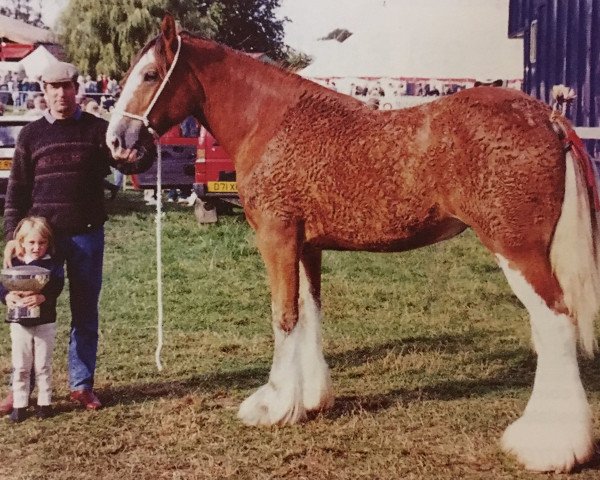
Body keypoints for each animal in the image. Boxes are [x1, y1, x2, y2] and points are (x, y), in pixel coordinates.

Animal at [108, 15, 600, 472]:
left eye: (149, 75)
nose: (117, 141)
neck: (271, 121)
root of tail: (548, 117)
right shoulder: (307, 246)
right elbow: (309, 312)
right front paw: (310, 399)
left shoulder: (276, 236)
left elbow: (284, 316)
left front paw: (273, 405)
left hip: (516, 250)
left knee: (555, 321)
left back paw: (548, 447)